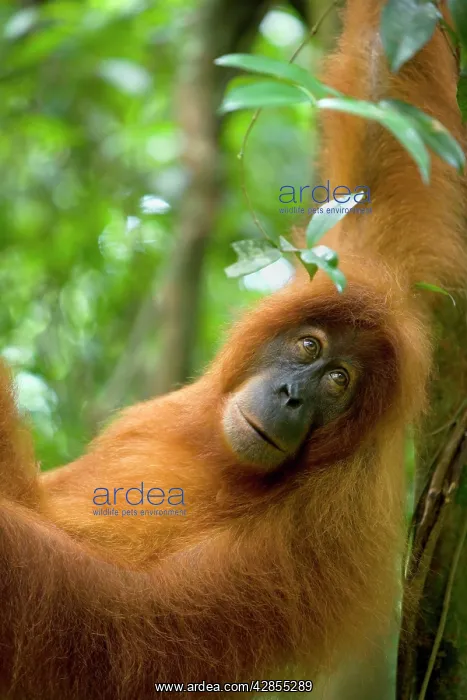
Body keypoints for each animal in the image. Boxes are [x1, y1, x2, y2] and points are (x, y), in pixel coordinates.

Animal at [0, 1, 465, 699]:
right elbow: (387, 139)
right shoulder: (360, 267)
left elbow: (127, 627)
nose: (292, 394)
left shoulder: (319, 530)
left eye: (339, 381)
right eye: (308, 346)